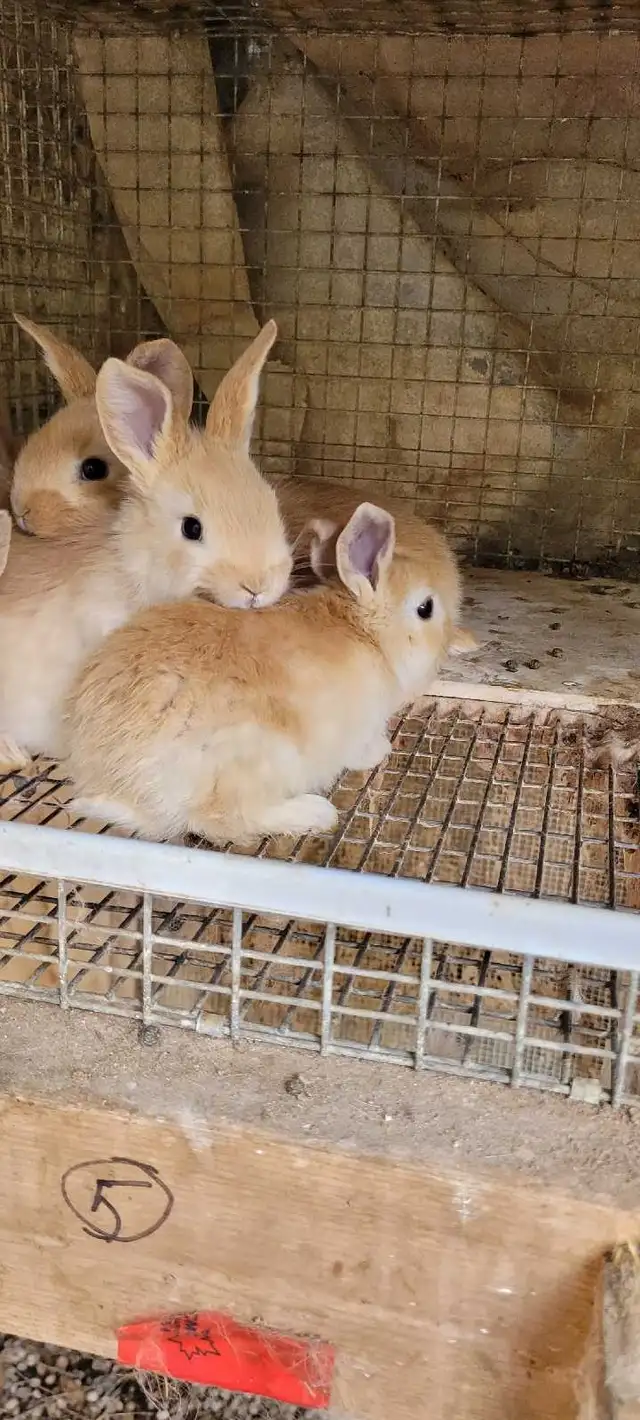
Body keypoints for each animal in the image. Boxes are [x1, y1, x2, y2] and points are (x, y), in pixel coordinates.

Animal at [65, 500, 464, 844]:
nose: (445, 646)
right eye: (425, 608)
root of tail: (123, 789)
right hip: (254, 755)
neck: (368, 634)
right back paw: (315, 813)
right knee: (222, 818)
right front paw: (381, 749)